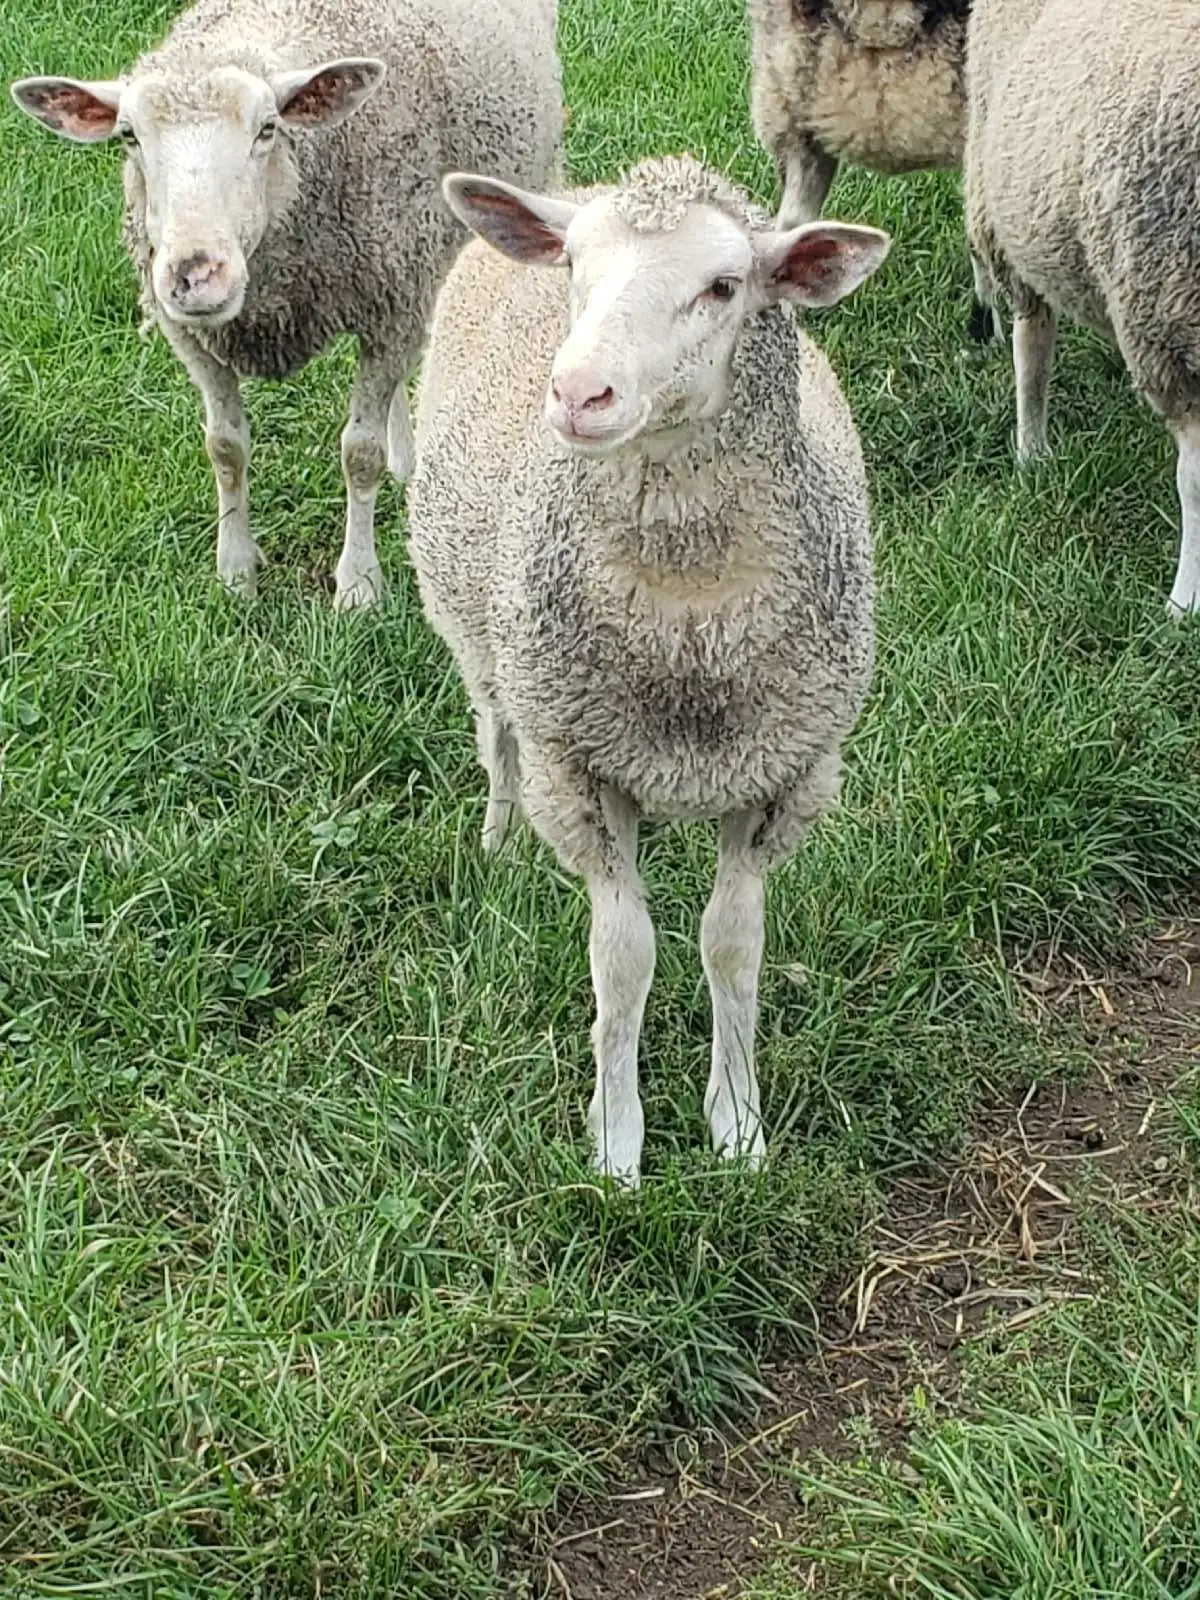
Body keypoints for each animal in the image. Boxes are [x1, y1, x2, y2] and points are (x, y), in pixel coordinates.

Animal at [11, 0, 562, 610]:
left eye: (268, 129)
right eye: (129, 136)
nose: (195, 274)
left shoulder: (392, 302)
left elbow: (360, 453)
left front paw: (359, 584)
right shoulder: (194, 335)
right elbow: (225, 448)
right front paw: (235, 572)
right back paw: (407, 460)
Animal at [406, 154, 889, 1183]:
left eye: (724, 287)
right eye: (574, 267)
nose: (578, 394)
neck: (688, 624)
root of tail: (573, 181)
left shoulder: (783, 772)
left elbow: (732, 948)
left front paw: (738, 1126)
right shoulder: (579, 769)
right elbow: (623, 959)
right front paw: (618, 1147)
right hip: (478, 632)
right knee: (495, 737)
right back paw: (499, 839)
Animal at [964, 0, 1200, 616]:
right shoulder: (1168, 345)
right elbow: (1194, 481)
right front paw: (1184, 604)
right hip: (1009, 206)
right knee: (1032, 341)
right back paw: (1033, 451)